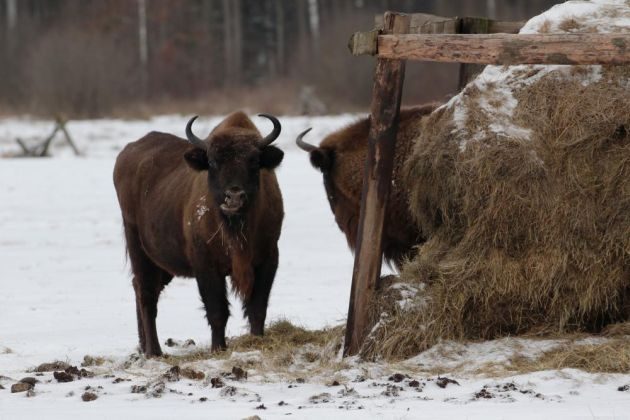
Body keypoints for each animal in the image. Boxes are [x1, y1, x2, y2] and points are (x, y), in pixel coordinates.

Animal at [114, 111, 286, 358]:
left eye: (254, 161)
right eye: (213, 162)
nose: (234, 197)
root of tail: (126, 154)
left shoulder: (268, 258)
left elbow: (257, 307)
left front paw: (256, 342)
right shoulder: (205, 265)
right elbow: (217, 311)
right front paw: (218, 348)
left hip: (163, 264)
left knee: (142, 288)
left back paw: (143, 347)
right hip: (137, 245)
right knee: (146, 294)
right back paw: (154, 352)